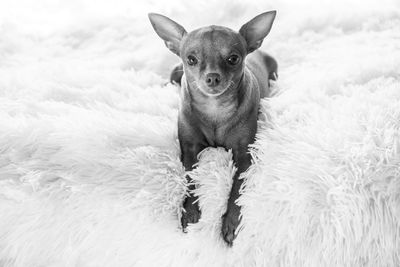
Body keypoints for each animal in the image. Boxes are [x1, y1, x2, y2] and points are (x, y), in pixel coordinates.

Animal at [148, 10, 276, 246]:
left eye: (233, 58)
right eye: (191, 59)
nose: (213, 77)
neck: (215, 108)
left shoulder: (244, 157)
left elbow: (236, 190)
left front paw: (231, 223)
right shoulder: (189, 151)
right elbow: (190, 179)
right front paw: (189, 211)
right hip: (175, 72)